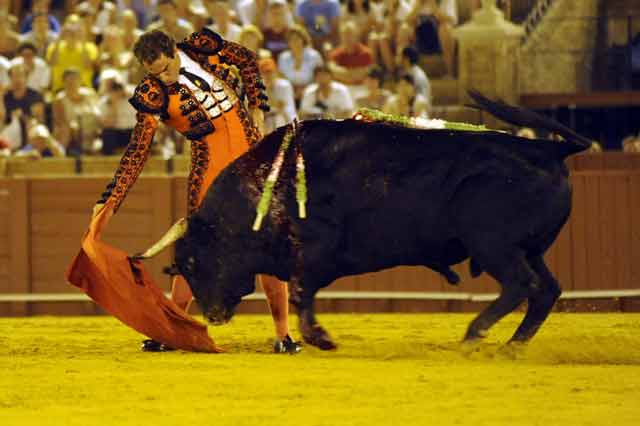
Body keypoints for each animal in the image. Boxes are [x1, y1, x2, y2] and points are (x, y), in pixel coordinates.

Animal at [135, 92, 592, 350]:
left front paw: (319, 338)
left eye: (193, 261)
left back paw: (475, 335)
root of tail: (551, 150)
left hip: (493, 243)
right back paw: (512, 345)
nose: (211, 315)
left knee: (521, 284)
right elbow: (300, 292)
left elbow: (301, 291)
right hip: (529, 249)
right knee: (547, 289)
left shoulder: (315, 251)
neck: (269, 184)